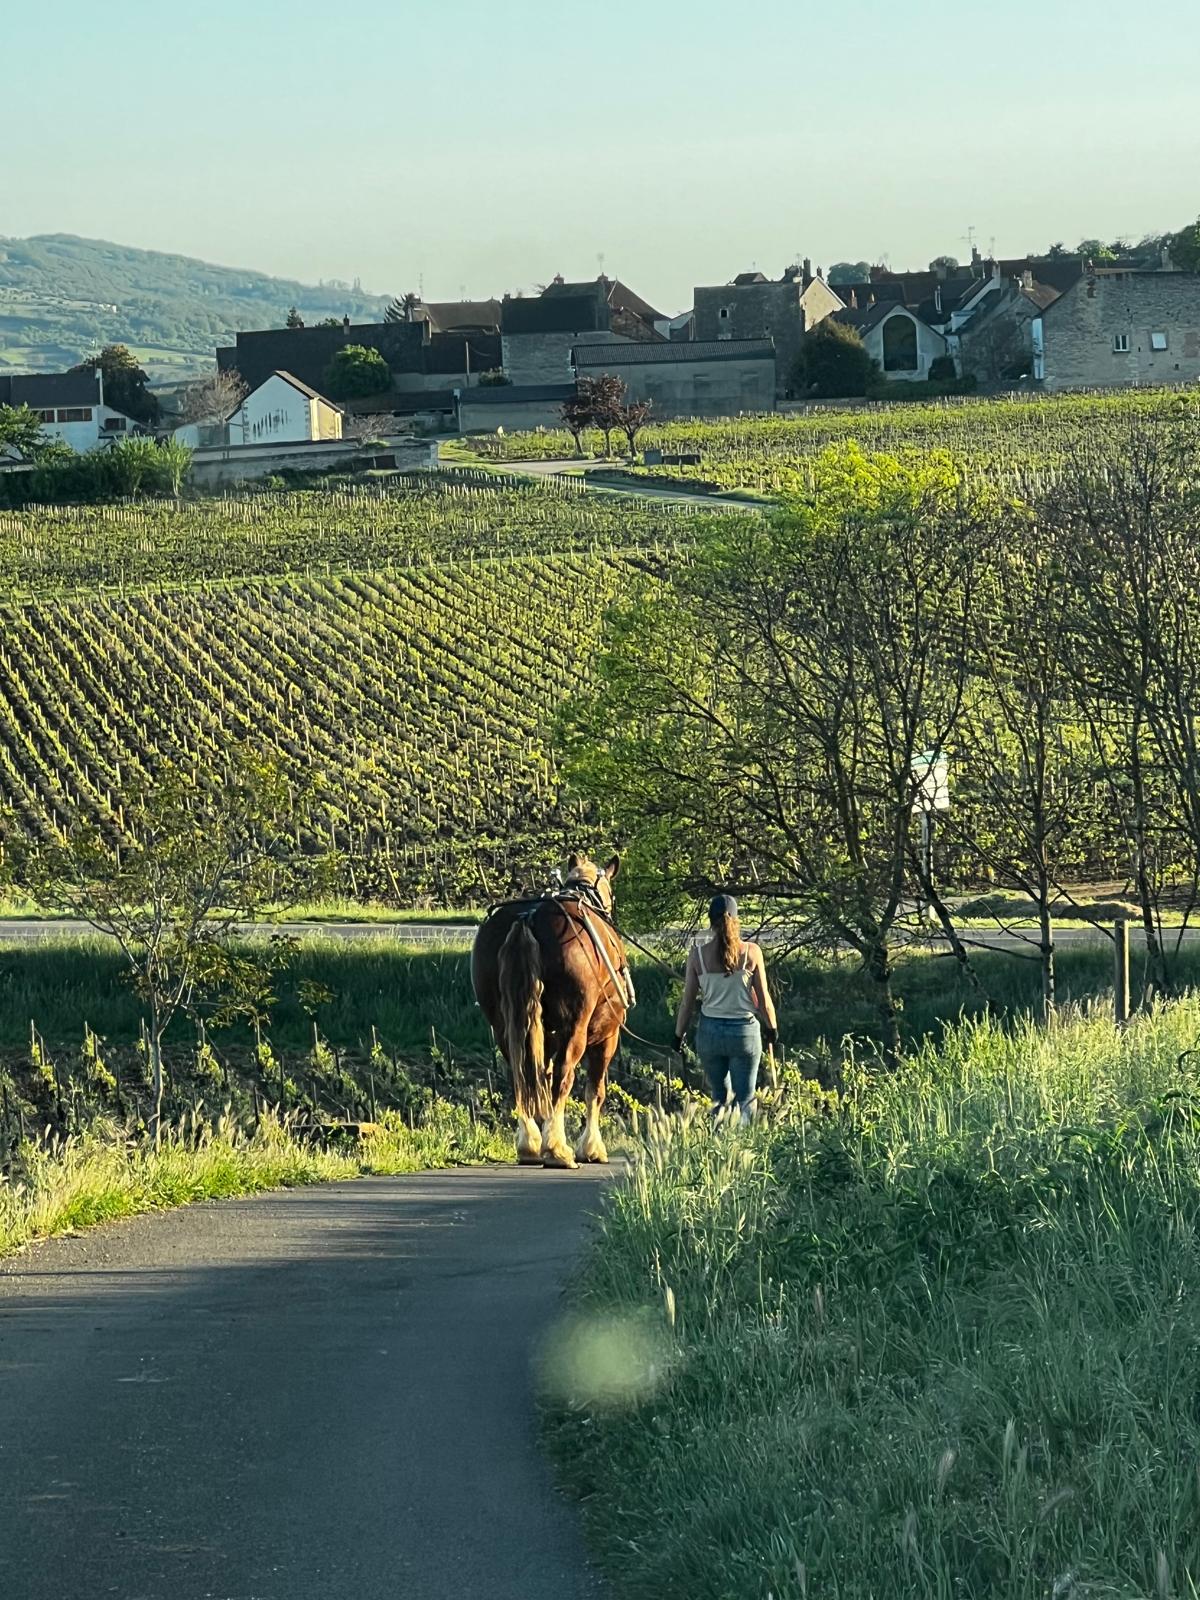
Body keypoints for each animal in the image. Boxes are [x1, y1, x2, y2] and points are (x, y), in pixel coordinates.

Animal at [470, 857, 630, 1171]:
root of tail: (526, 919)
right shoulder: (607, 1037)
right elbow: (595, 1090)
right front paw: (591, 1148)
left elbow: (539, 1079)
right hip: (574, 1029)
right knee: (562, 1078)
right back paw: (557, 1151)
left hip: (506, 1027)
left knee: (521, 1076)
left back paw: (530, 1145)